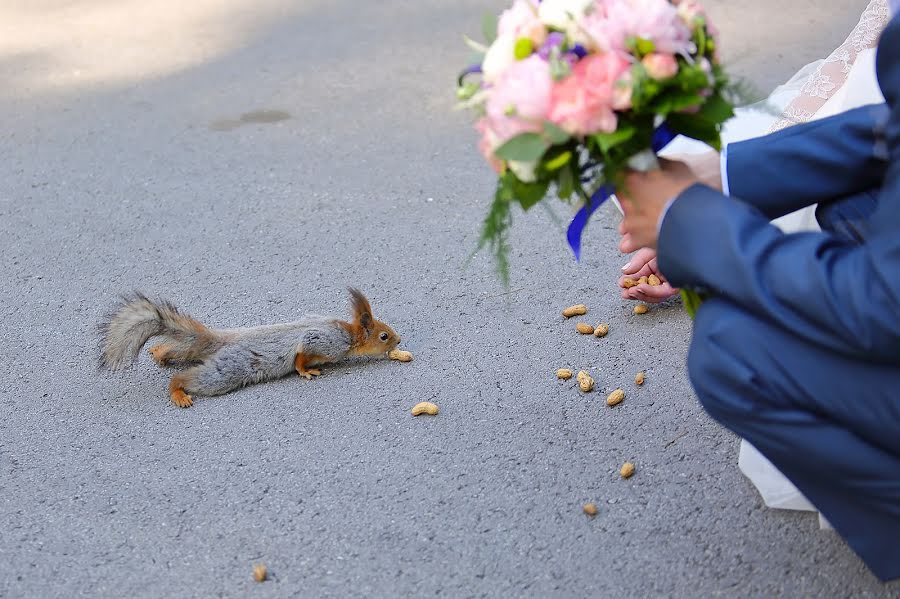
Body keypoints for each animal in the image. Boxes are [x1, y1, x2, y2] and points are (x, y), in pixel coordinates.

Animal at [97, 290, 400, 408]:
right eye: (384, 336)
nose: (399, 341)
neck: (348, 333)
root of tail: (223, 340)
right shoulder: (325, 340)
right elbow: (302, 352)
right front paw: (305, 371)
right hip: (225, 372)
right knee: (185, 377)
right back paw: (178, 393)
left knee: (178, 350)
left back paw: (159, 352)